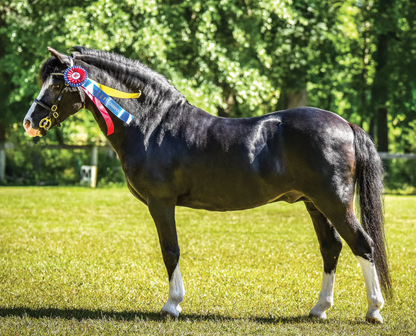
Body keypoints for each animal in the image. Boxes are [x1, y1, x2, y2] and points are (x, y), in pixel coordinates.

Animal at [24, 47, 392, 322]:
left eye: (56, 84)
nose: (29, 123)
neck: (152, 125)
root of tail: (345, 124)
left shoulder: (161, 202)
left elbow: (170, 250)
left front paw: (172, 305)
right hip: (314, 203)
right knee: (332, 248)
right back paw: (319, 309)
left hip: (334, 202)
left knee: (363, 244)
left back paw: (374, 311)